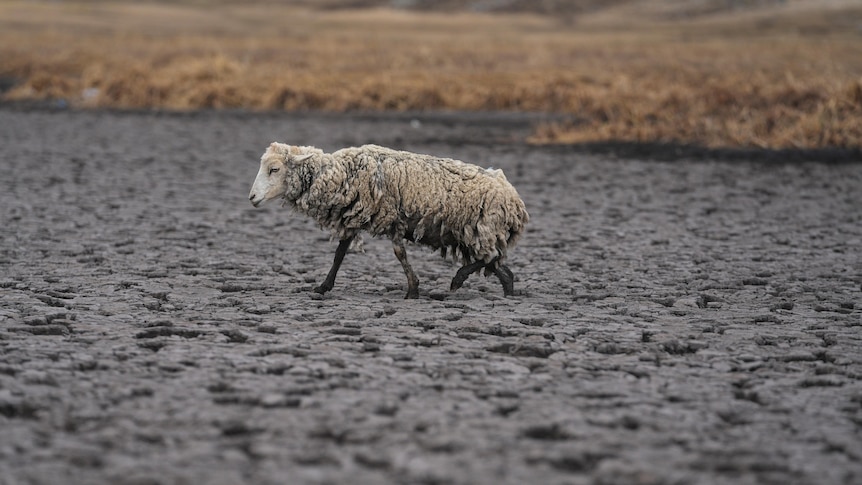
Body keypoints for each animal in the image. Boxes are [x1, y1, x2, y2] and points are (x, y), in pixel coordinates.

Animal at [250, 142, 528, 296]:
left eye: (274, 169)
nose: (252, 197)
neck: (341, 173)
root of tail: (515, 199)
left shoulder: (392, 217)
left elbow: (399, 254)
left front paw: (413, 289)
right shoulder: (354, 215)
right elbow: (340, 253)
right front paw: (323, 286)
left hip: (482, 229)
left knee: (489, 257)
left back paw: (458, 279)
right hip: (478, 234)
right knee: (497, 264)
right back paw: (507, 290)